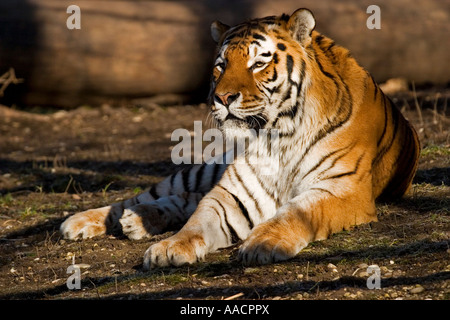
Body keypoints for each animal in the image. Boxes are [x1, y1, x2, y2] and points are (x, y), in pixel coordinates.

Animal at [58, 7, 420, 268]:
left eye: (258, 63)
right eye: (220, 65)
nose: (222, 98)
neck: (280, 135)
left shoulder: (341, 189)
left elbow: (296, 212)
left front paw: (263, 242)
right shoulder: (233, 193)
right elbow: (199, 220)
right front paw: (170, 247)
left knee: (183, 199)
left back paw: (139, 220)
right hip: (202, 170)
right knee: (146, 196)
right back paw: (82, 221)